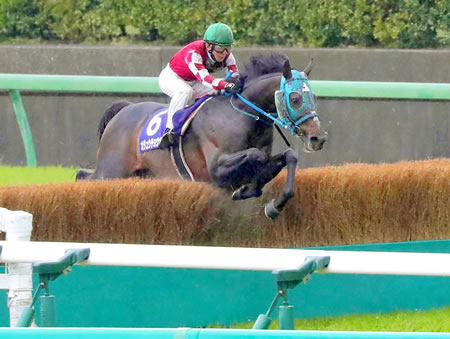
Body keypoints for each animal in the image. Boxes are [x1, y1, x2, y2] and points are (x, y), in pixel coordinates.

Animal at [76, 53, 326, 218]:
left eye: (313, 96)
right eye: (295, 98)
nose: (318, 138)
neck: (240, 114)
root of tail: (124, 110)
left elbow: (289, 155)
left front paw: (273, 203)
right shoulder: (215, 169)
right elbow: (256, 155)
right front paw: (249, 188)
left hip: (140, 175)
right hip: (111, 171)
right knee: (83, 176)